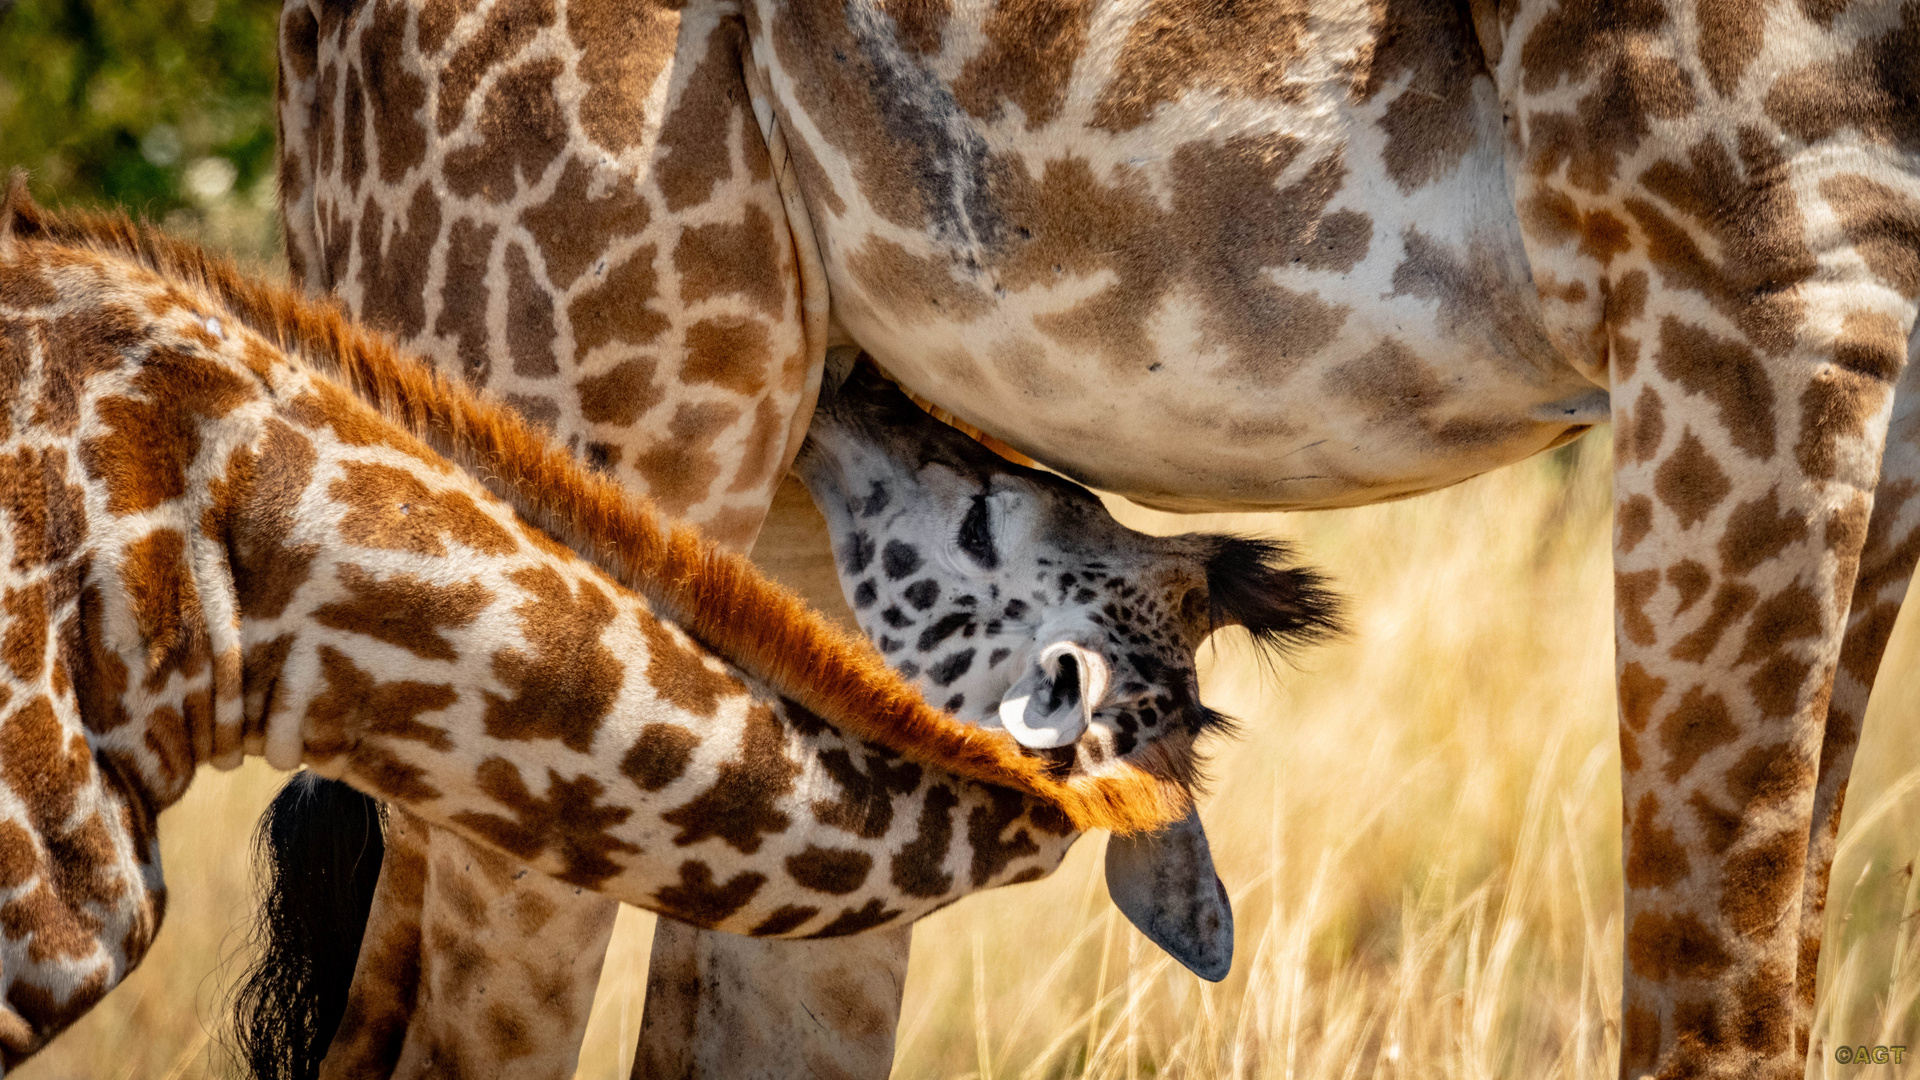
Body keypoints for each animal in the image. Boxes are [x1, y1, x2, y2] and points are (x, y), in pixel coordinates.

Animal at [284, 2, 1920, 1076]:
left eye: (1002, 503)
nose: (883, 407)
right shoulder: (1749, 263)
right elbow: (1716, 1005)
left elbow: (1785, 966)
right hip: (596, 402)